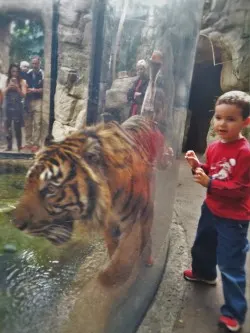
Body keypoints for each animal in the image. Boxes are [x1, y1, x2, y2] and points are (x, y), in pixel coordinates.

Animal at [13, 115, 172, 284]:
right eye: (28, 183)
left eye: (51, 189)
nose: (15, 224)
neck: (112, 200)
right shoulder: (109, 224)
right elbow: (113, 247)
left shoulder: (132, 221)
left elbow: (125, 253)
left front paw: (111, 276)